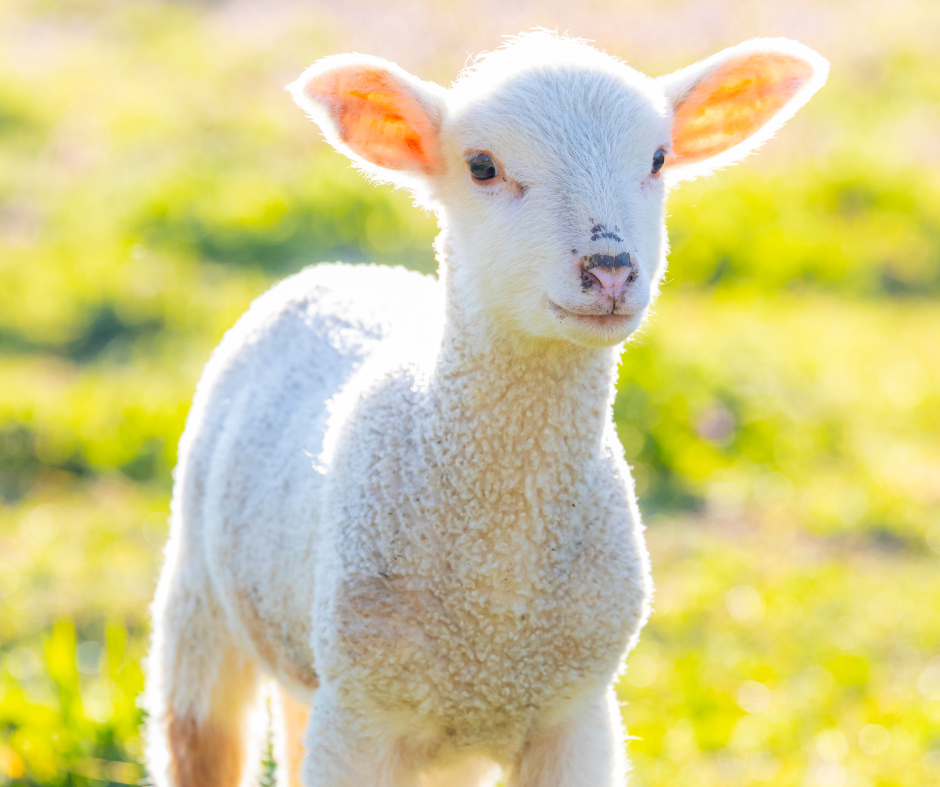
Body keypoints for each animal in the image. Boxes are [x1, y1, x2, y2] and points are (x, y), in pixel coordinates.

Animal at [143, 31, 828, 787]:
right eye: (482, 166)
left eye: (657, 159)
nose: (610, 270)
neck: (496, 594)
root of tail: (338, 271)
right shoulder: (363, 708)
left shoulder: (576, 712)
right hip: (199, 595)